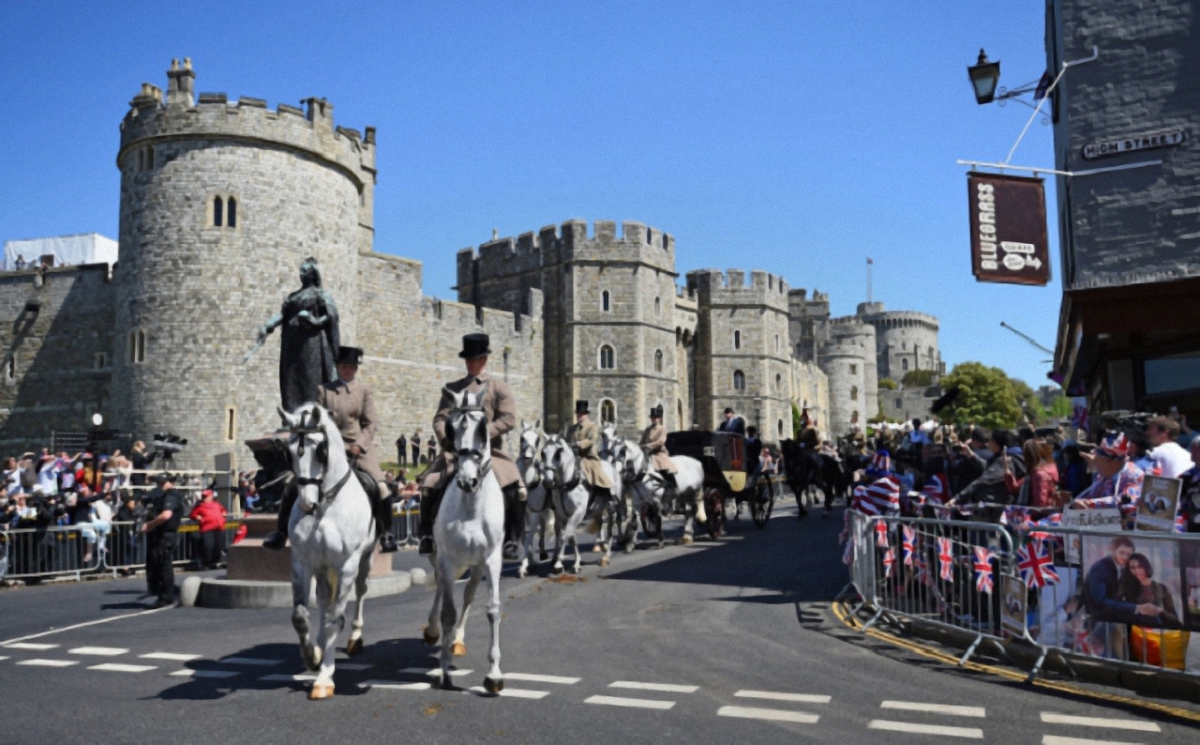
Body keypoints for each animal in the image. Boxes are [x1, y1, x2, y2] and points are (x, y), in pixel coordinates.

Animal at [280, 400, 374, 695]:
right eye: (288, 451)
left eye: (321, 450)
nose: (305, 504)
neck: (325, 506)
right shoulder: (302, 562)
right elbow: (300, 616)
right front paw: (312, 656)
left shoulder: (347, 565)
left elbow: (335, 618)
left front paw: (324, 677)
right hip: (323, 568)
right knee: (322, 600)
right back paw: (320, 644)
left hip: (364, 560)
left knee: (359, 593)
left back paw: (355, 637)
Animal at [424, 386, 504, 695]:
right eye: (450, 426)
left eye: (483, 427)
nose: (466, 480)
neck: (470, 505)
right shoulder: (447, 559)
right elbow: (448, 610)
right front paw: (444, 670)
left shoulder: (492, 560)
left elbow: (492, 609)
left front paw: (494, 675)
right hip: (441, 559)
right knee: (439, 587)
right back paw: (434, 630)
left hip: (477, 565)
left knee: (469, 593)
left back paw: (457, 640)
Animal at [513, 422, 554, 578]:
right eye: (521, 438)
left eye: (537, 440)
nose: (528, 456)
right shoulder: (521, 515)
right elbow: (524, 539)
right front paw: (530, 561)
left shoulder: (535, 512)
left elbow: (530, 538)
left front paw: (524, 566)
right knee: (542, 526)